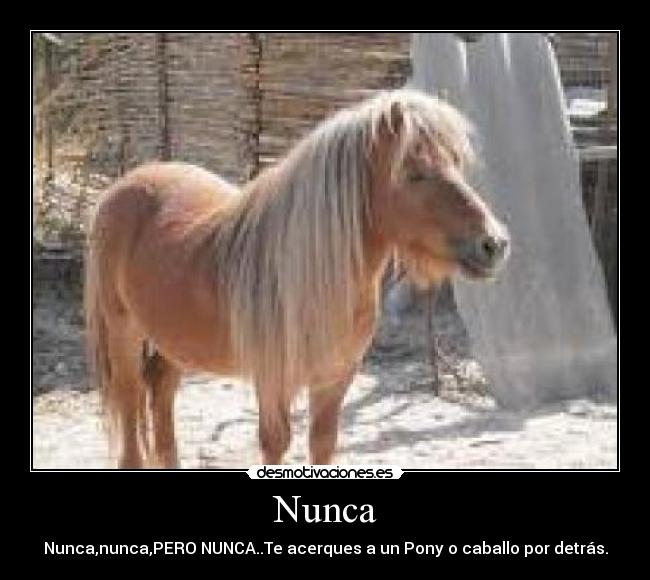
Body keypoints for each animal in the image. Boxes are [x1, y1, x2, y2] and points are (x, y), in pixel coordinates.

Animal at [84, 88, 510, 469]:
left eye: (457, 163)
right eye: (413, 173)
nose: (494, 243)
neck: (313, 278)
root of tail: (121, 188)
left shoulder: (335, 379)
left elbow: (323, 443)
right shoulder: (273, 381)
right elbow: (275, 443)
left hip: (175, 339)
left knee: (160, 389)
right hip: (124, 331)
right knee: (131, 403)